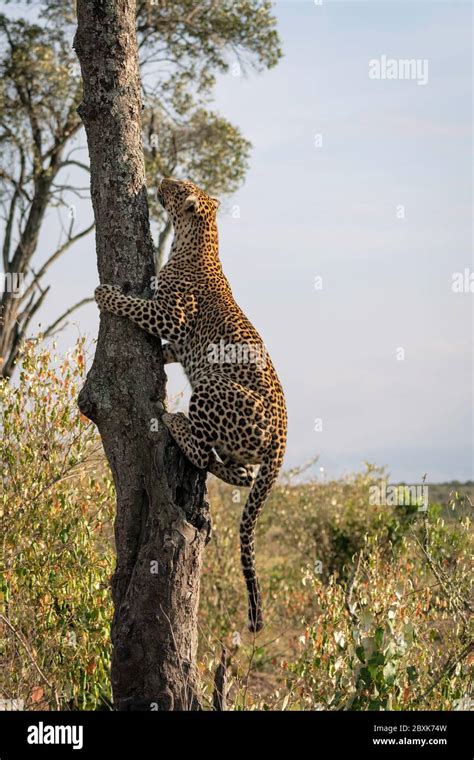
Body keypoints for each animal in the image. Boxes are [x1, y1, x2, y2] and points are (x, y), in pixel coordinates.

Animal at [94, 177, 286, 628]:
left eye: (178, 186)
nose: (161, 181)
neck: (197, 240)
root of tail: (281, 441)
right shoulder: (175, 340)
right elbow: (164, 349)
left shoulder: (171, 316)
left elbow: (135, 306)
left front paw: (107, 295)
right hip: (240, 446)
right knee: (240, 473)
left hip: (213, 387)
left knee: (200, 450)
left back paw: (172, 419)